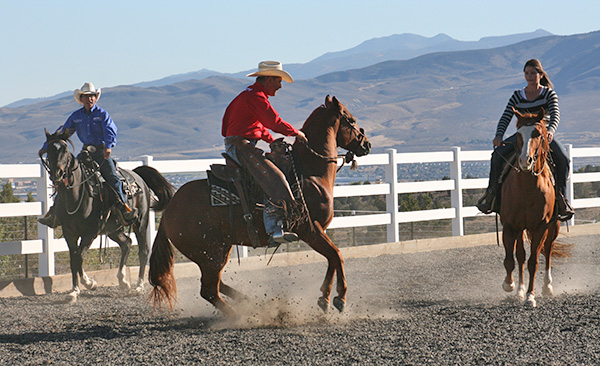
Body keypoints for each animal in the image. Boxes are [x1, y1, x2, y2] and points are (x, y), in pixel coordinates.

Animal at [41, 130, 173, 302]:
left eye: (64, 150)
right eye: (49, 151)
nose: (57, 173)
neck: (76, 194)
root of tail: (138, 176)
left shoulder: (90, 232)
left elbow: (79, 256)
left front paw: (89, 284)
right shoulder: (69, 233)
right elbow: (73, 259)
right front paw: (74, 291)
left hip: (140, 223)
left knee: (143, 251)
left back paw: (138, 286)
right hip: (113, 229)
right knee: (126, 243)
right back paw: (123, 281)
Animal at [149, 96, 370, 316]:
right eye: (351, 119)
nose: (367, 144)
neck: (310, 173)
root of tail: (169, 210)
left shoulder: (318, 231)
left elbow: (333, 257)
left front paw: (325, 298)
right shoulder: (309, 229)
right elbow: (337, 255)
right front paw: (339, 298)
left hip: (219, 249)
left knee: (217, 284)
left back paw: (248, 302)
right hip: (209, 253)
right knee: (209, 290)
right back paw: (240, 316)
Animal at [500, 108, 564, 306]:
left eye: (537, 134)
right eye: (519, 134)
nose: (524, 160)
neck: (527, 188)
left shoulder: (541, 226)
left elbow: (533, 261)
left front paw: (531, 296)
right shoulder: (510, 225)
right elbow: (511, 259)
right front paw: (510, 285)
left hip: (554, 226)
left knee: (548, 251)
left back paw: (547, 287)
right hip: (521, 228)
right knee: (520, 255)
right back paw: (519, 290)